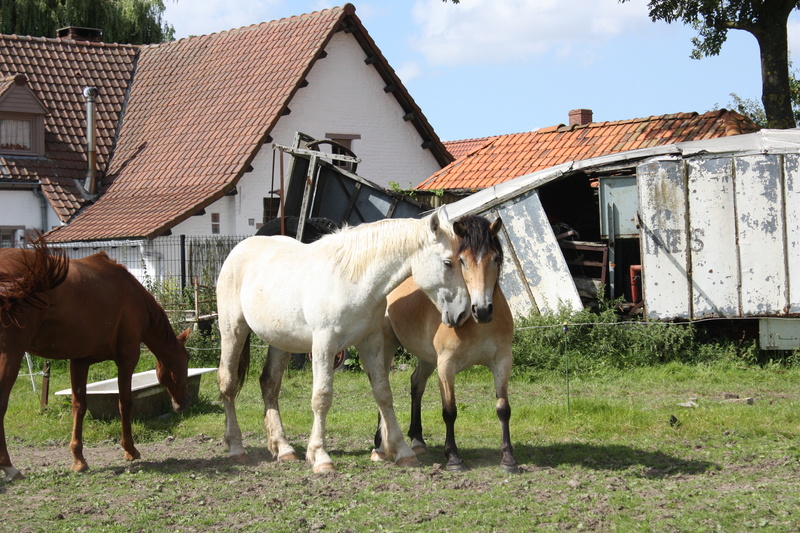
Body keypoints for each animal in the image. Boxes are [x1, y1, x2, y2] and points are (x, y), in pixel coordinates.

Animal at [0, 239, 192, 480]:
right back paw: (9, 467)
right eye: (185, 361)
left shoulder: (79, 361)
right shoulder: (127, 359)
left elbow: (79, 406)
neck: (133, 294)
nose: (183, 403)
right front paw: (130, 450)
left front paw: (78, 460)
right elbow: (125, 402)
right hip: (11, 354)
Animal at [216, 210, 472, 472]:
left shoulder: (371, 343)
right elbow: (322, 397)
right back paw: (236, 448)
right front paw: (320, 456)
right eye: (448, 262)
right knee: (228, 382)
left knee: (269, 385)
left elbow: (383, 393)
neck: (352, 281)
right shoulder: (324, 345)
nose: (463, 312)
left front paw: (402, 451)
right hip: (233, 331)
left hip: (280, 342)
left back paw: (284, 448)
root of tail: (239, 249)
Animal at [374, 214, 520, 472]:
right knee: (382, 389)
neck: (477, 325)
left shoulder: (502, 361)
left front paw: (508, 458)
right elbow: (449, 411)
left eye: (495, 258)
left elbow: (503, 408)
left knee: (416, 384)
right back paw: (380, 446)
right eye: (462, 260)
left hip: (426, 358)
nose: (482, 310)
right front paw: (453, 458)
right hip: (388, 347)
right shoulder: (446, 366)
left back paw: (417, 439)